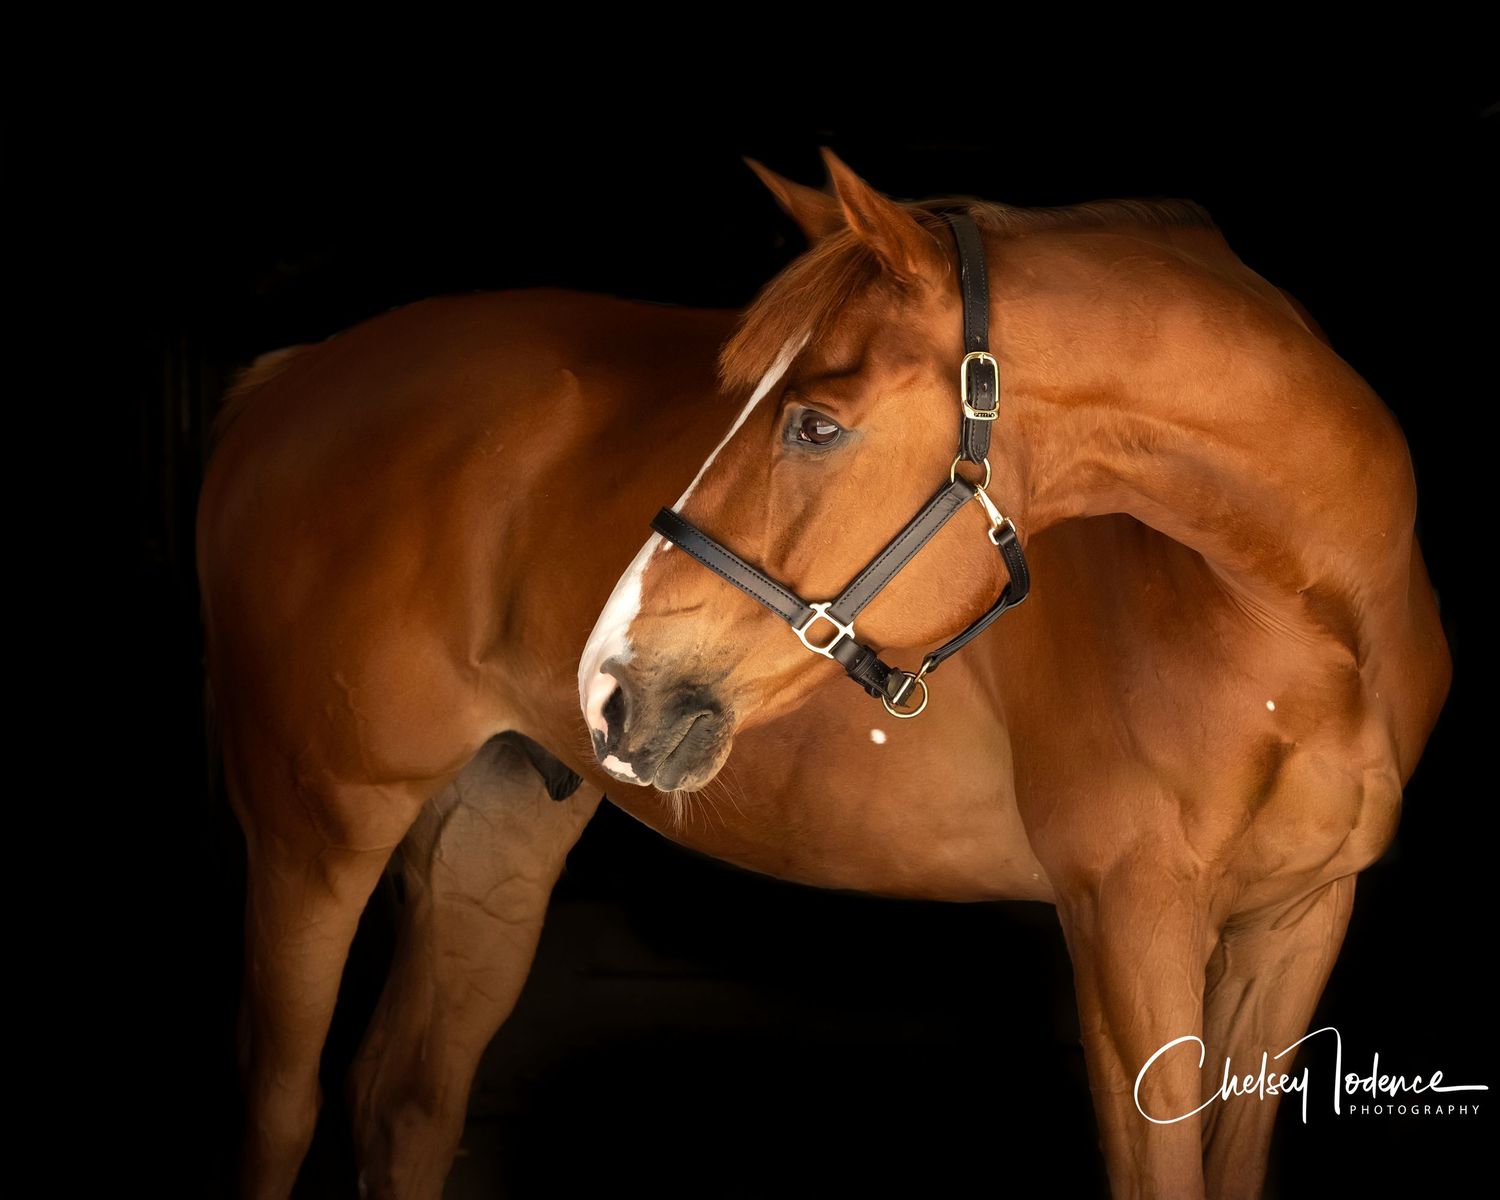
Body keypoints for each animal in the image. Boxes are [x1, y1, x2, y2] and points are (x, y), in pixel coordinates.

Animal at [196, 147, 1450, 1199]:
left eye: (812, 423)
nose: (610, 683)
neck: (1302, 624)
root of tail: (287, 376)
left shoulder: (1294, 927)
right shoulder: (1129, 919)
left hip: (494, 832)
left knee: (407, 1101)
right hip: (316, 836)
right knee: (278, 1109)